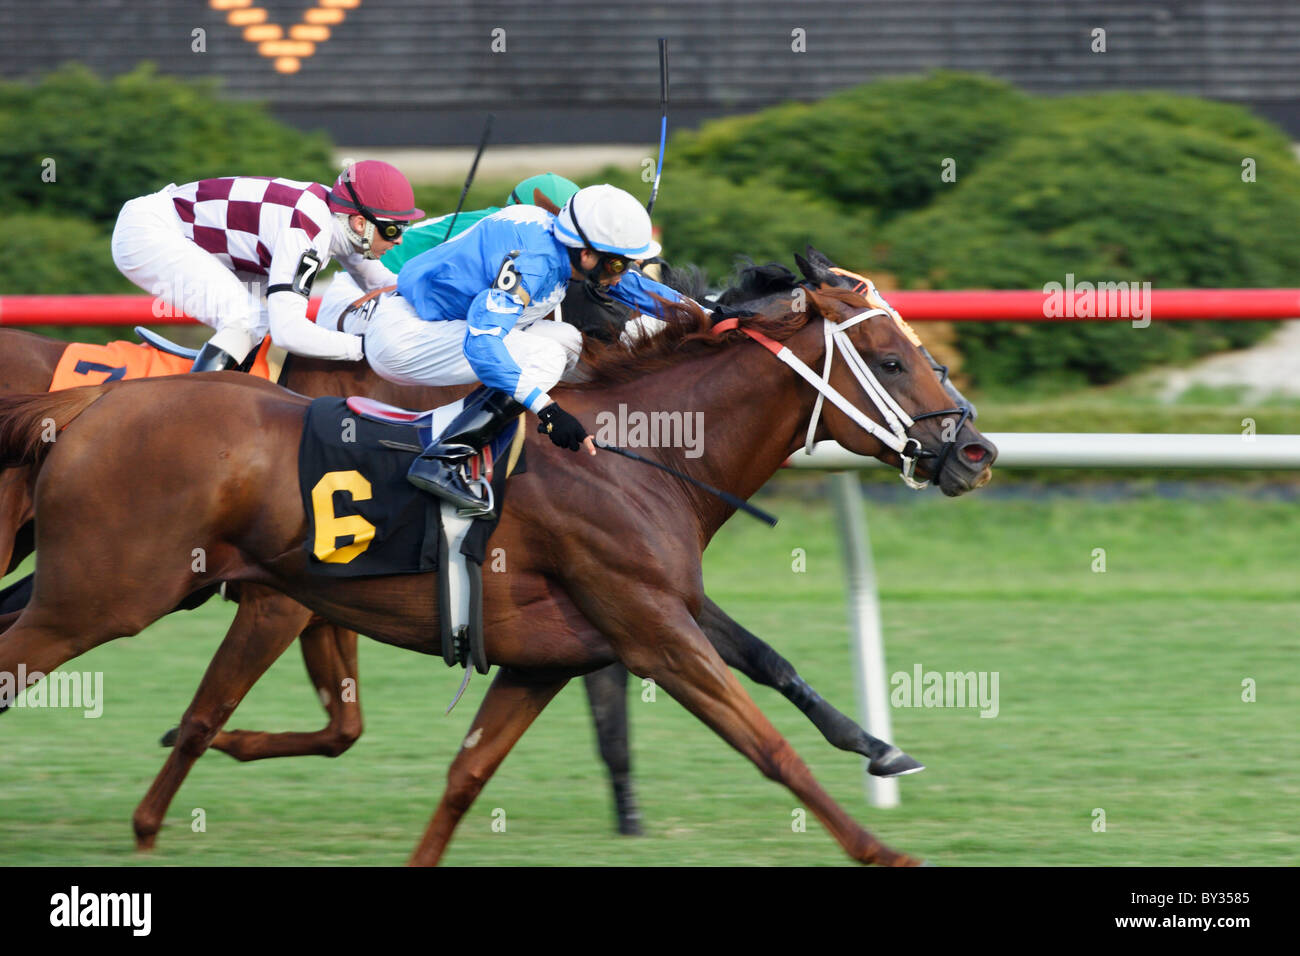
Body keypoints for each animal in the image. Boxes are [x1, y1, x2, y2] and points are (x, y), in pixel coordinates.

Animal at [0, 260, 993, 868]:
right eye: (893, 360)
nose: (975, 452)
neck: (631, 451)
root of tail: (84, 411)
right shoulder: (653, 631)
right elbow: (768, 745)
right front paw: (883, 847)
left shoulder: (553, 654)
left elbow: (463, 778)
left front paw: (880, 748)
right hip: (100, 599)